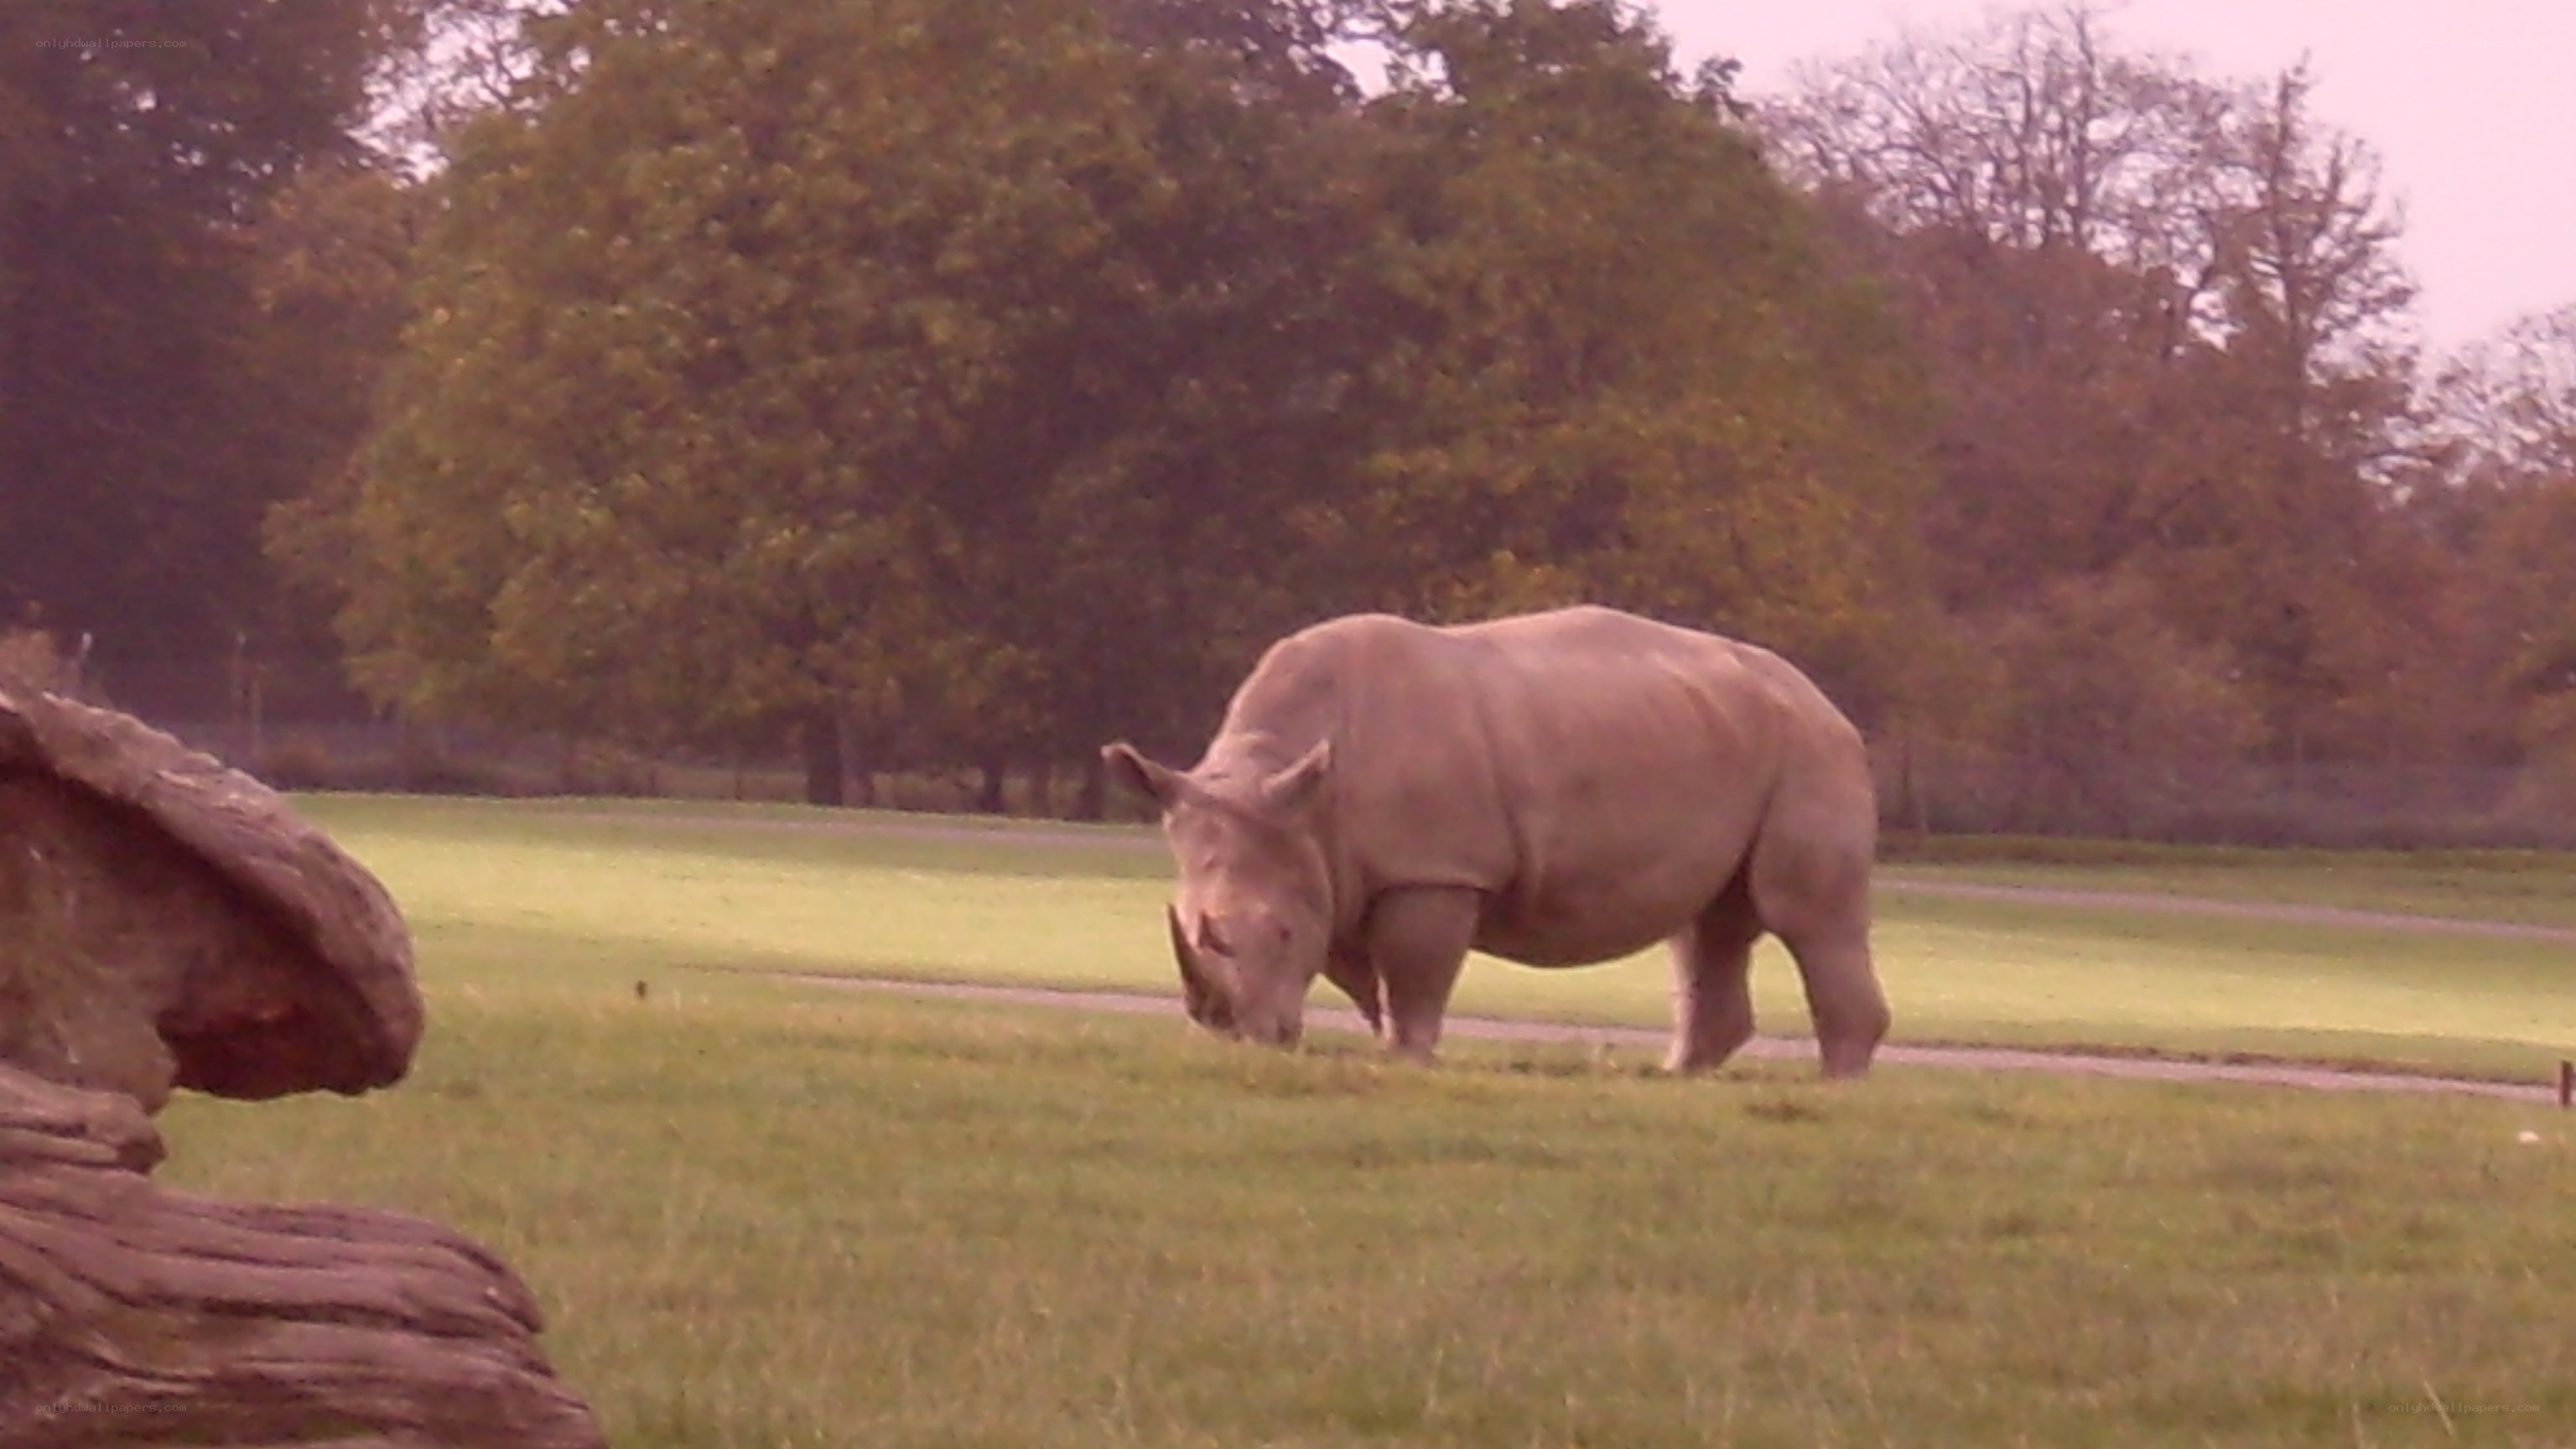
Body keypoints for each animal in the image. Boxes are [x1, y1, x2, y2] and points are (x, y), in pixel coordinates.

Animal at [1102, 606, 1891, 1078]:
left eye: (1285, 933)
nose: (1239, 1039)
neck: (1299, 789)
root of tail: (1823, 699)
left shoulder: (1435, 868)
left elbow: (1414, 973)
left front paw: (1405, 1062)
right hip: (1724, 735)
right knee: (1707, 926)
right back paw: (1676, 1079)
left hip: (1811, 751)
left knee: (1806, 917)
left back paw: (1836, 1086)